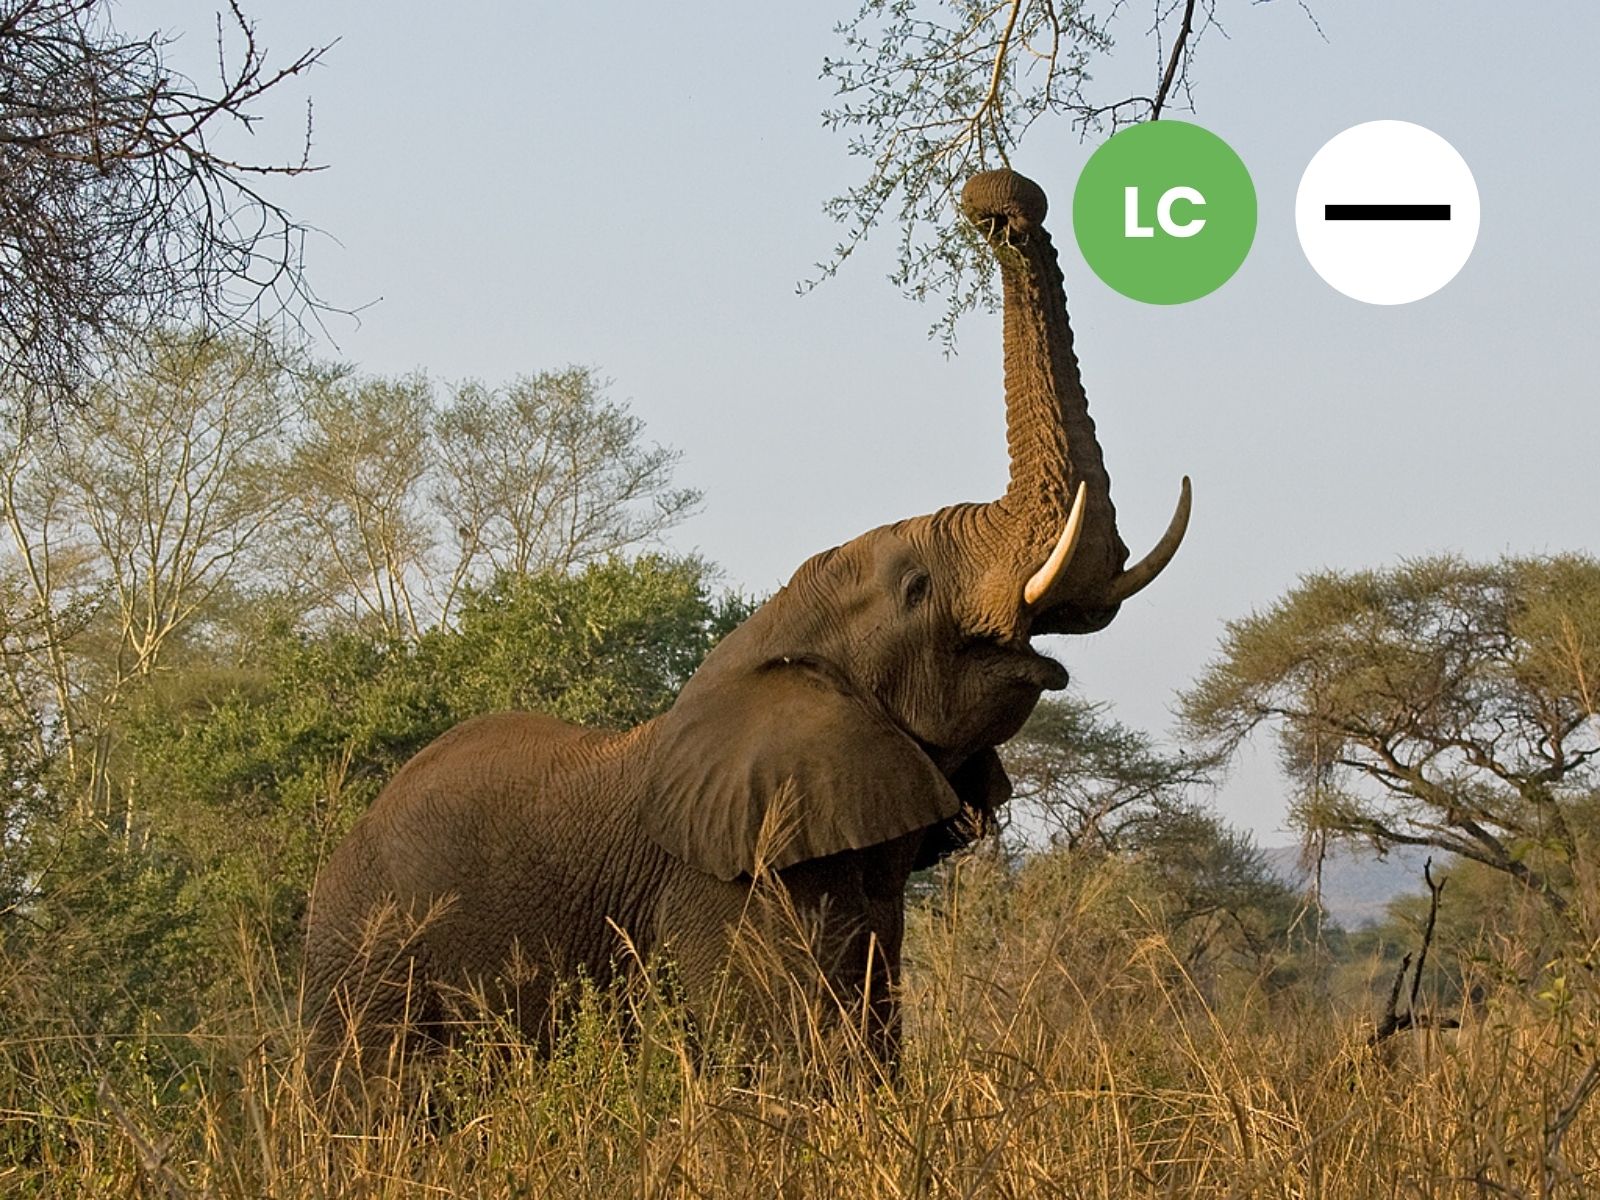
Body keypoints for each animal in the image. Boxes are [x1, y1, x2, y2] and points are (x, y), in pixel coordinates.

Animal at [301, 168, 1190, 1084]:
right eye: (915, 588)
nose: (999, 201)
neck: (770, 651)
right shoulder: (721, 882)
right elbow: (787, 1054)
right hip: (364, 964)